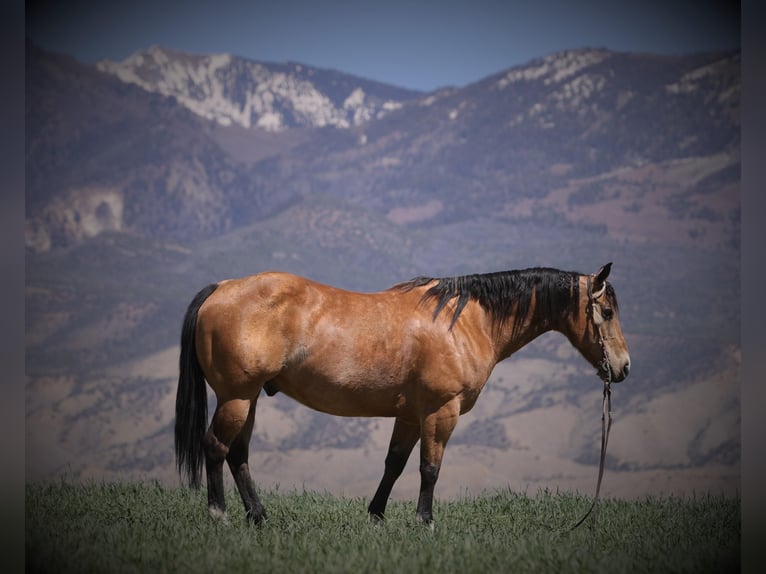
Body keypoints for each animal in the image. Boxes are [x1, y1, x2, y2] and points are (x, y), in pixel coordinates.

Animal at [174, 264, 632, 528]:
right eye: (607, 312)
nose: (624, 367)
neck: (465, 320)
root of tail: (221, 288)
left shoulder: (411, 415)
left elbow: (394, 464)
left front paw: (376, 517)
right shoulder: (441, 411)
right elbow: (430, 468)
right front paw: (425, 522)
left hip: (248, 399)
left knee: (238, 454)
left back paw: (259, 516)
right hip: (236, 397)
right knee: (216, 448)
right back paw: (219, 516)